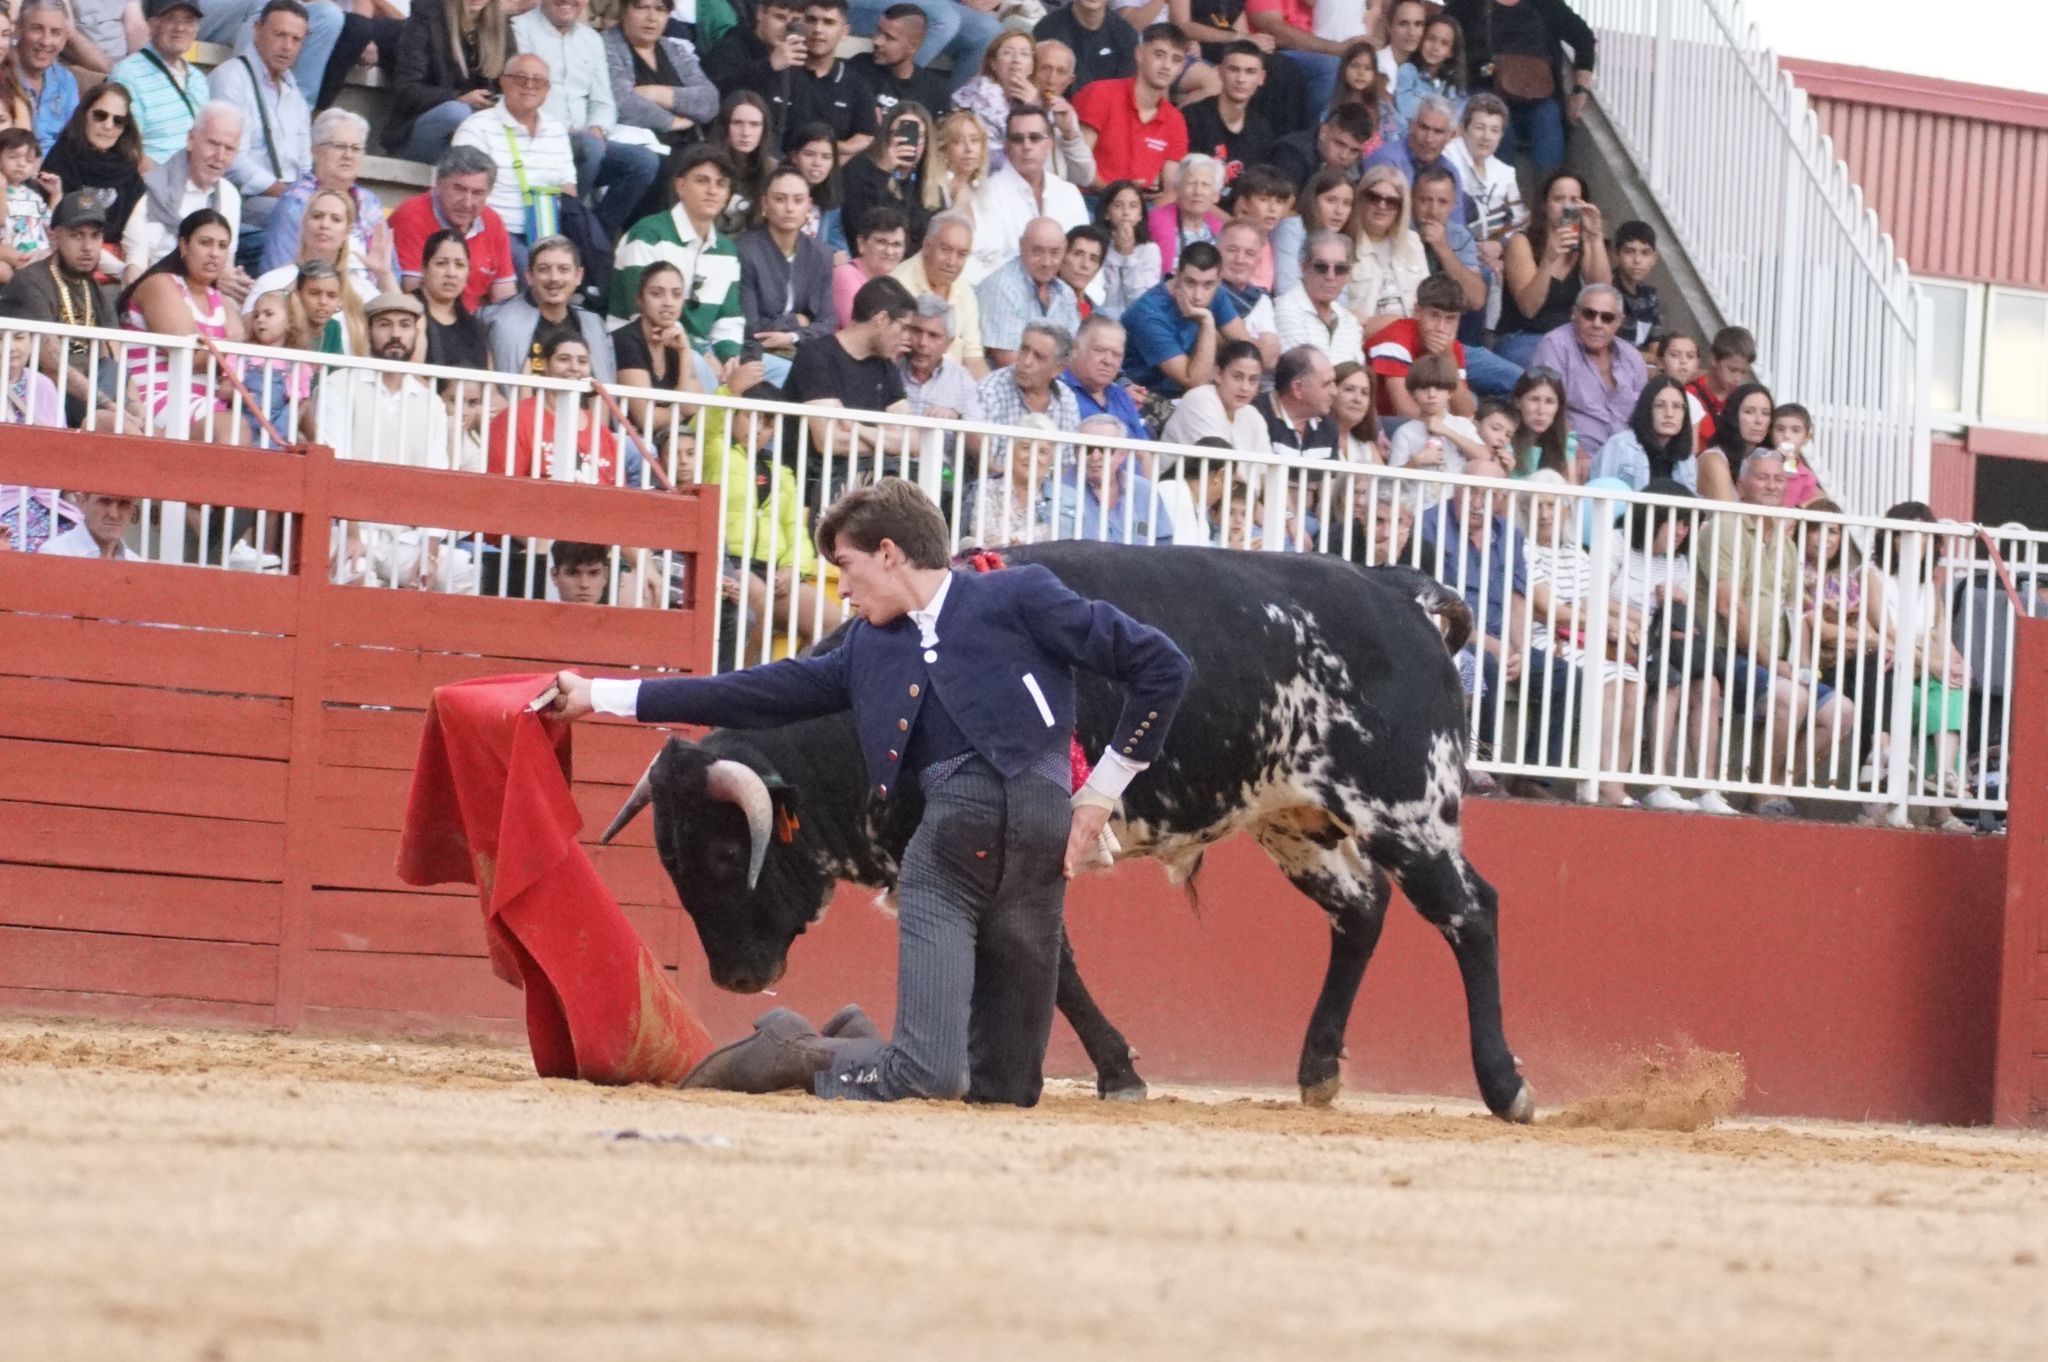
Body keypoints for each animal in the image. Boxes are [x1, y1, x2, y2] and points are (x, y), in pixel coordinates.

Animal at [606, 536, 1540, 1122]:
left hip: (1406, 809)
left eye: (728, 851)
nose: (736, 979)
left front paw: (1113, 1073)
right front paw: (1110, 1070)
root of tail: (1399, 592)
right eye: (672, 859)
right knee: (1362, 911)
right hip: (1293, 821)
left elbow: (1055, 965)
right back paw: (1316, 1072)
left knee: (1473, 913)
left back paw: (1505, 1087)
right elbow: (1057, 967)